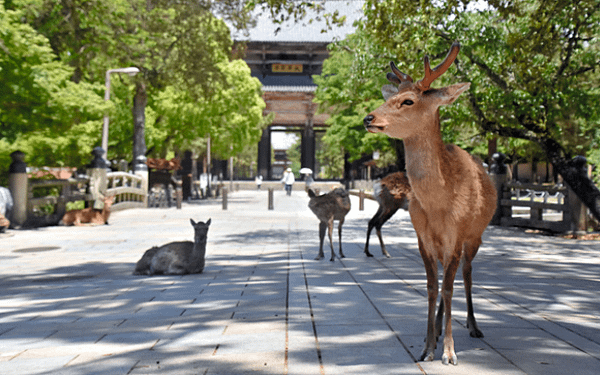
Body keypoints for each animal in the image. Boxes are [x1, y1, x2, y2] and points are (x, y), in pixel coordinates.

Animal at [360, 42, 496, 366]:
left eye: (407, 101)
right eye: (389, 97)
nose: (369, 118)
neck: (438, 206)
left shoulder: (456, 236)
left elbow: (448, 288)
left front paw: (449, 352)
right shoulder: (423, 237)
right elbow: (433, 289)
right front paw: (427, 348)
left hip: (476, 236)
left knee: (467, 275)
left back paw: (473, 326)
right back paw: (434, 330)